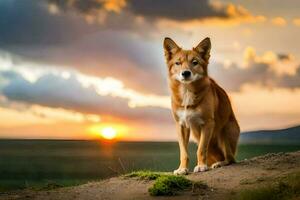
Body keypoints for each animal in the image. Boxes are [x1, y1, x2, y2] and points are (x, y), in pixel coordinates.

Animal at [163, 36, 240, 174]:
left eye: (195, 62)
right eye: (178, 63)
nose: (186, 73)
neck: (187, 92)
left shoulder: (208, 124)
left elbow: (201, 149)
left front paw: (201, 166)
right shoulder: (181, 126)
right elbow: (184, 152)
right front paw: (182, 169)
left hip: (224, 133)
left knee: (230, 158)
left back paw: (219, 163)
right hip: (200, 138)